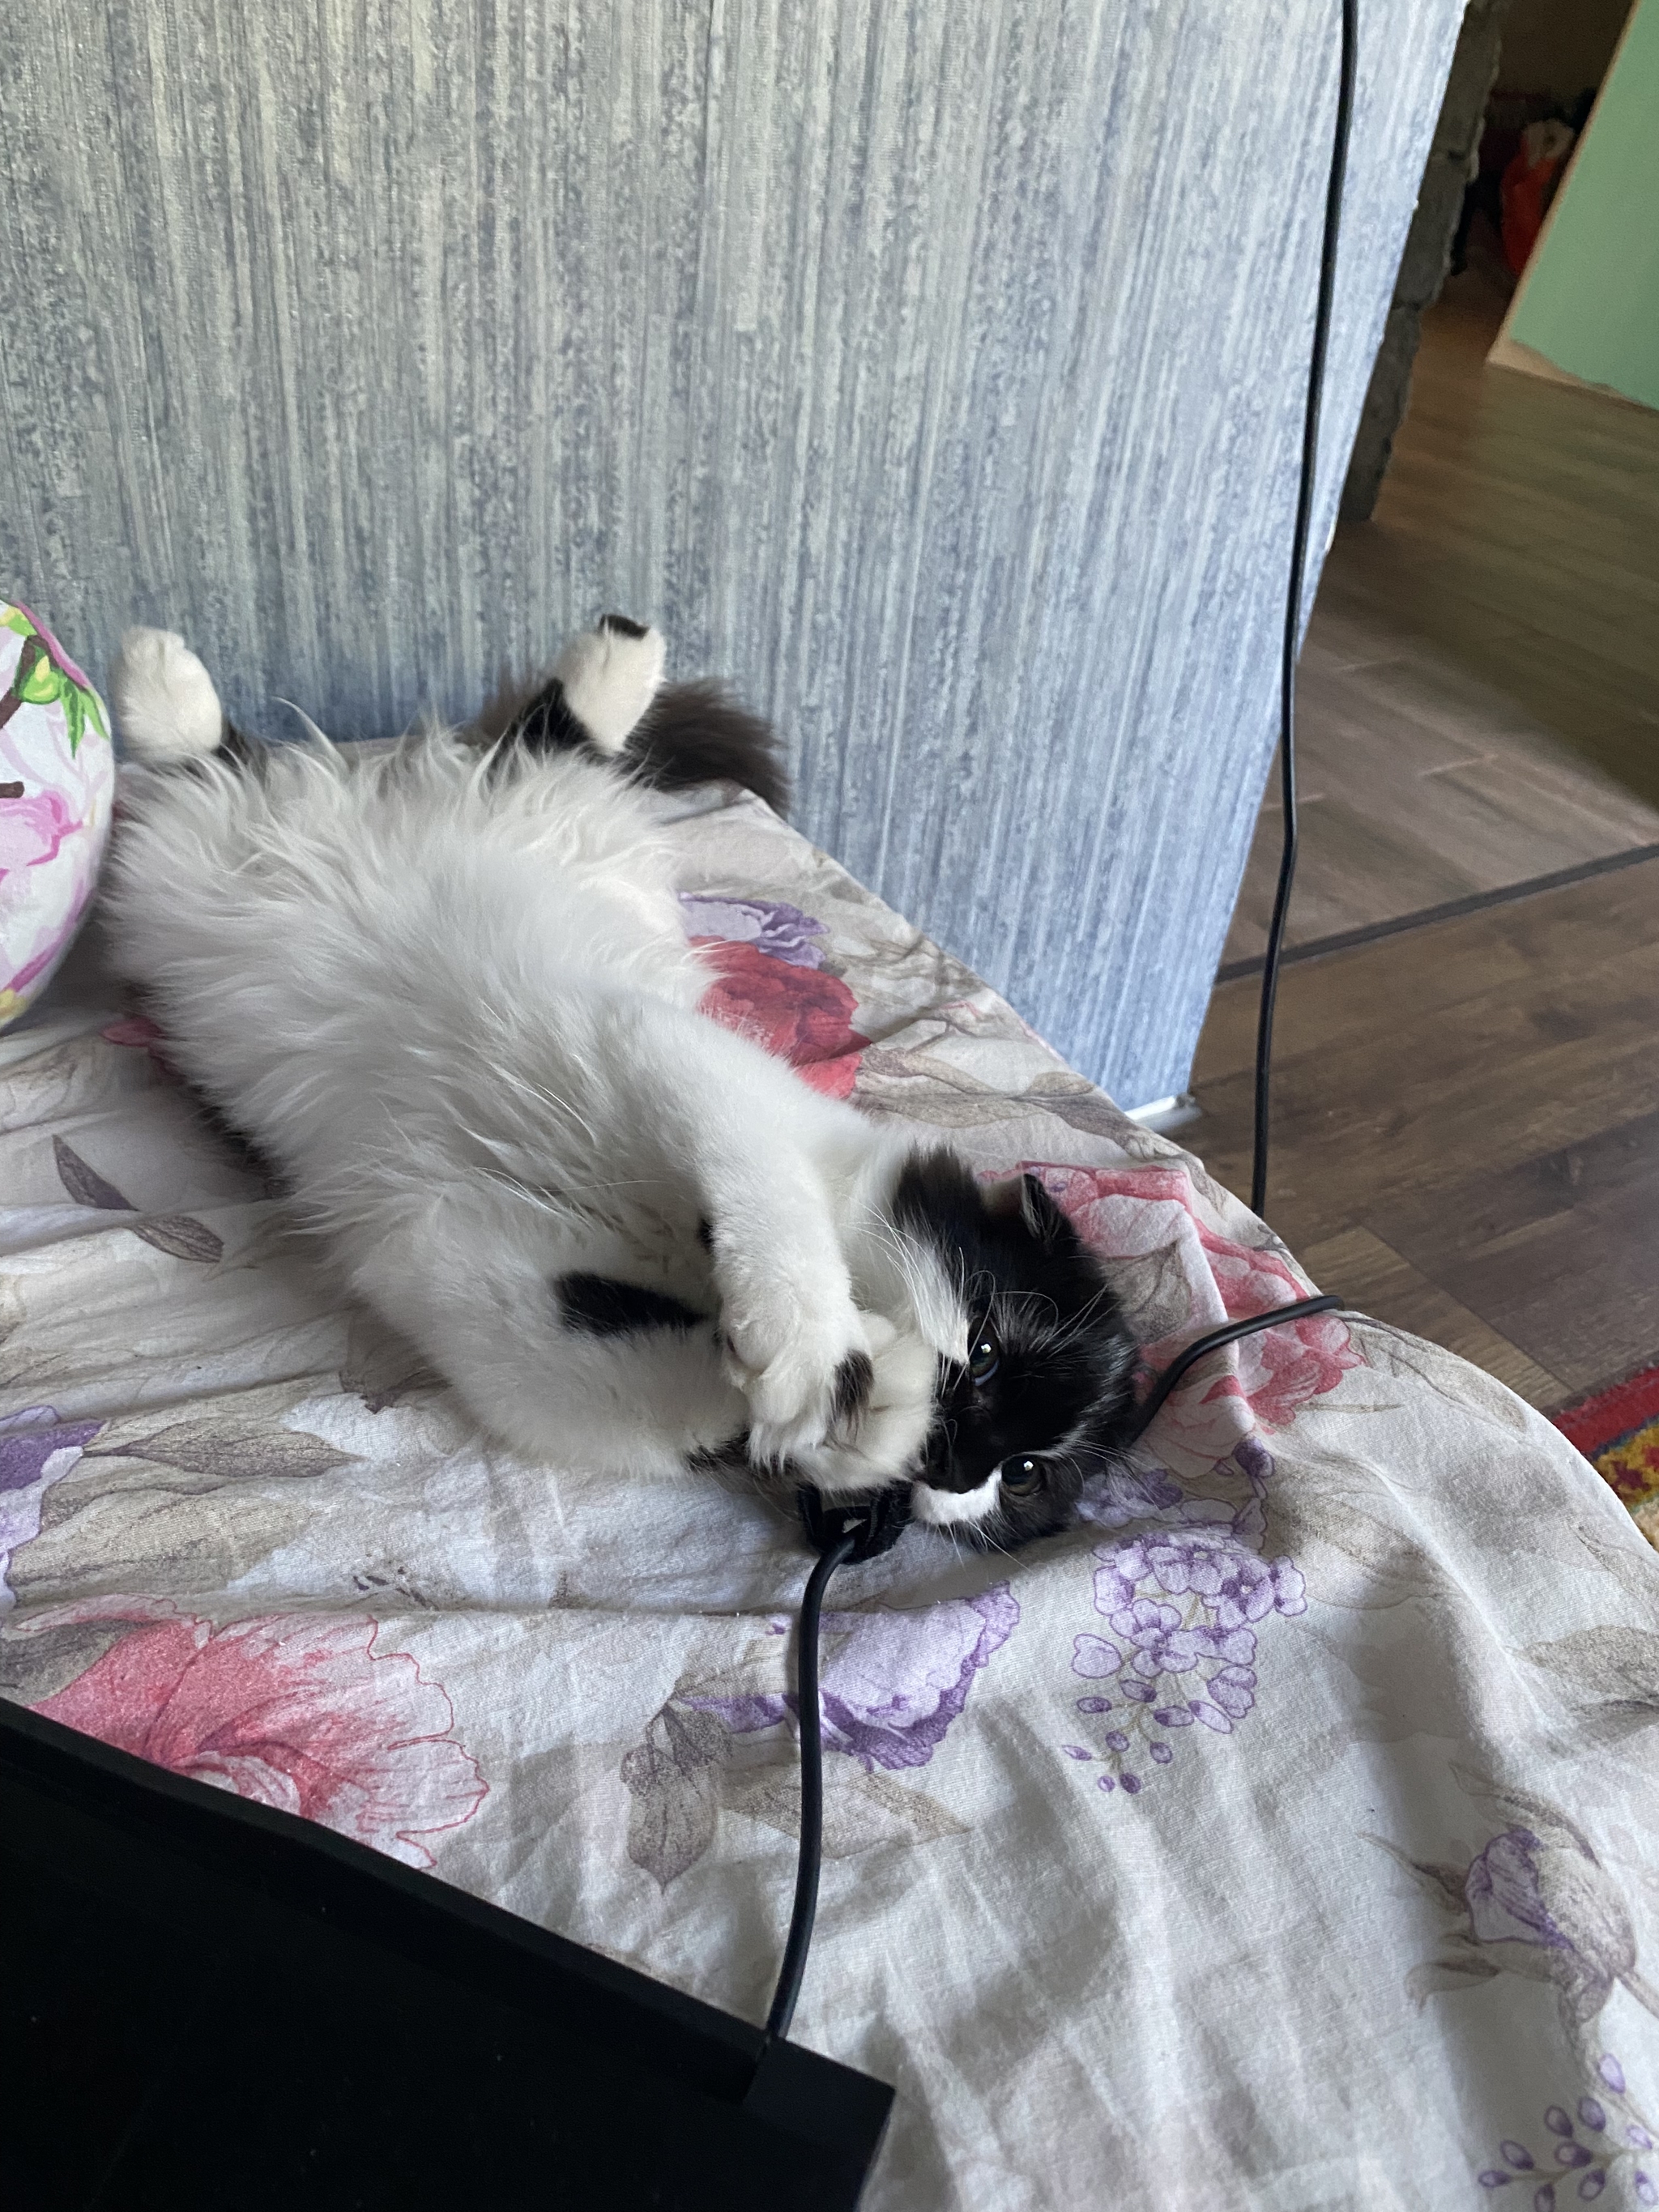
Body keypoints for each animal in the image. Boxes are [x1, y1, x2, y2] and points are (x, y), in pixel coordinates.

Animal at [103, 618, 1138, 1547]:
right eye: (988, 1352)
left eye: (1024, 1475)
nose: (956, 1464)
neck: (682, 1257)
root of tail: (382, 802)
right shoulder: (674, 1056)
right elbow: (775, 1211)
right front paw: (819, 1355)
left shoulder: (456, 1257)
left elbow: (655, 1400)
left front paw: (851, 1415)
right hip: (406, 825)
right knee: (277, 758)